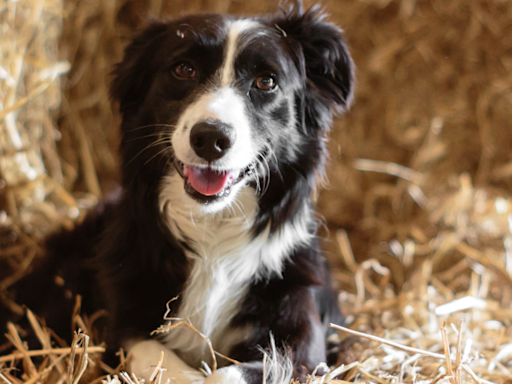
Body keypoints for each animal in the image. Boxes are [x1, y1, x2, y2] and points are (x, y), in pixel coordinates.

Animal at [5, 3, 356, 384]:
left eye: (266, 81)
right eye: (184, 69)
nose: (211, 138)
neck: (212, 227)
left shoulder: (302, 344)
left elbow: (227, 374)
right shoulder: (122, 328)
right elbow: (156, 358)